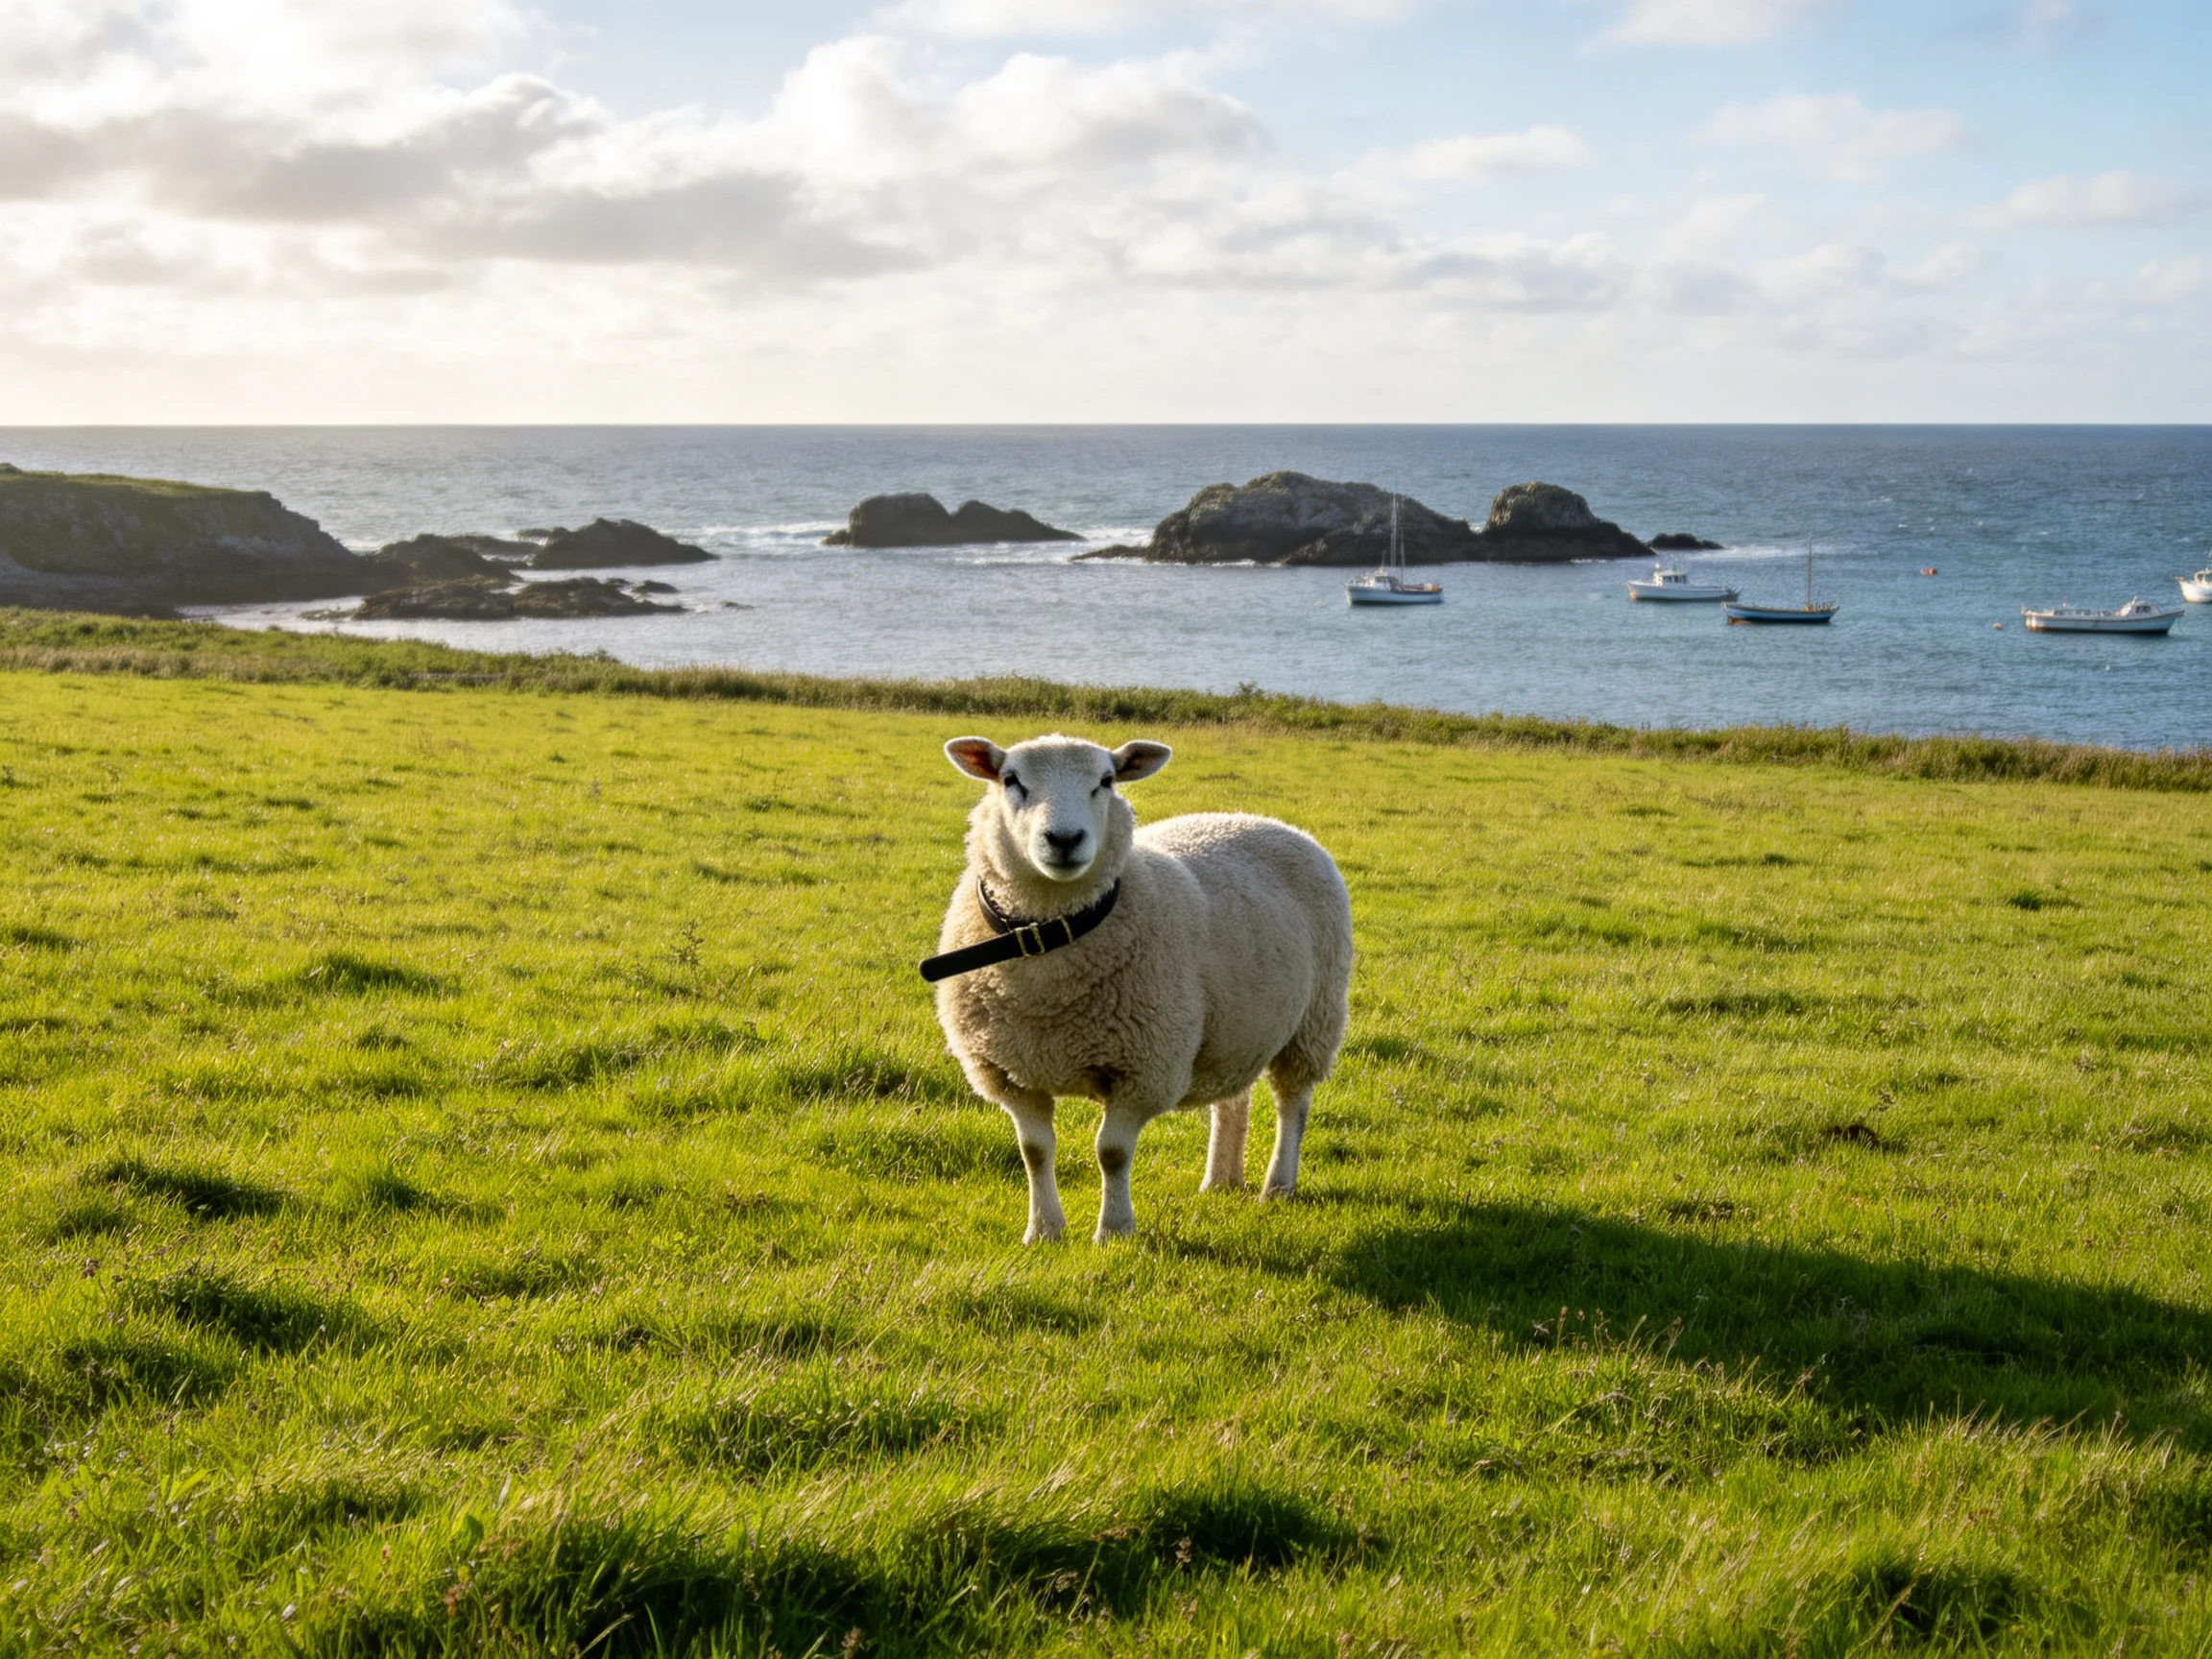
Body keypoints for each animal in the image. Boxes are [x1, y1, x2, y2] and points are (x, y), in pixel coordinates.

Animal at [927, 732, 1352, 1244]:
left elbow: (1111, 1153)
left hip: (1314, 1021)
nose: (1064, 840)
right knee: (1232, 1101)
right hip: (1234, 1026)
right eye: (1011, 780)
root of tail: (1259, 818)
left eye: (1106, 781)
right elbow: (1034, 1150)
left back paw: (1278, 1186)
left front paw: (1114, 1231)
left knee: (1294, 1104)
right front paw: (1044, 1231)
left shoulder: (1144, 1068)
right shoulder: (1009, 1073)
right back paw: (1220, 1181)